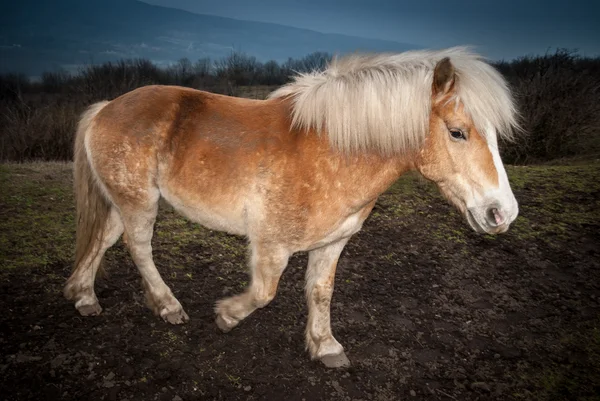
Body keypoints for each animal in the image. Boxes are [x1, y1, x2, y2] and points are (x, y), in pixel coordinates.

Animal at [62, 46, 520, 366]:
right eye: (457, 132)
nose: (502, 213)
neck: (335, 151)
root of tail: (106, 108)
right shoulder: (271, 246)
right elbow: (264, 293)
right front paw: (227, 316)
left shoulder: (333, 242)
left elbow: (320, 291)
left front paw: (325, 346)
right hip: (140, 203)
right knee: (138, 248)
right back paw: (167, 305)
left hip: (123, 201)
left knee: (103, 240)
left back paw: (83, 297)